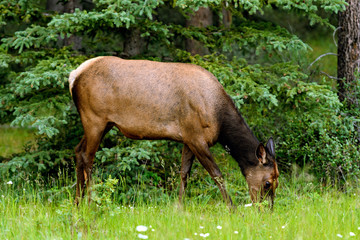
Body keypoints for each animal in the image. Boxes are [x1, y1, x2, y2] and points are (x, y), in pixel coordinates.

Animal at [69, 56, 280, 208]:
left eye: (277, 182)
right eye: (268, 183)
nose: (266, 209)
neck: (219, 119)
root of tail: (74, 76)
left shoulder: (188, 138)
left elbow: (184, 173)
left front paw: (179, 207)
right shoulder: (196, 137)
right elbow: (217, 174)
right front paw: (232, 208)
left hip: (105, 123)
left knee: (78, 150)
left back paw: (77, 203)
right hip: (94, 118)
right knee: (88, 157)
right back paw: (91, 203)